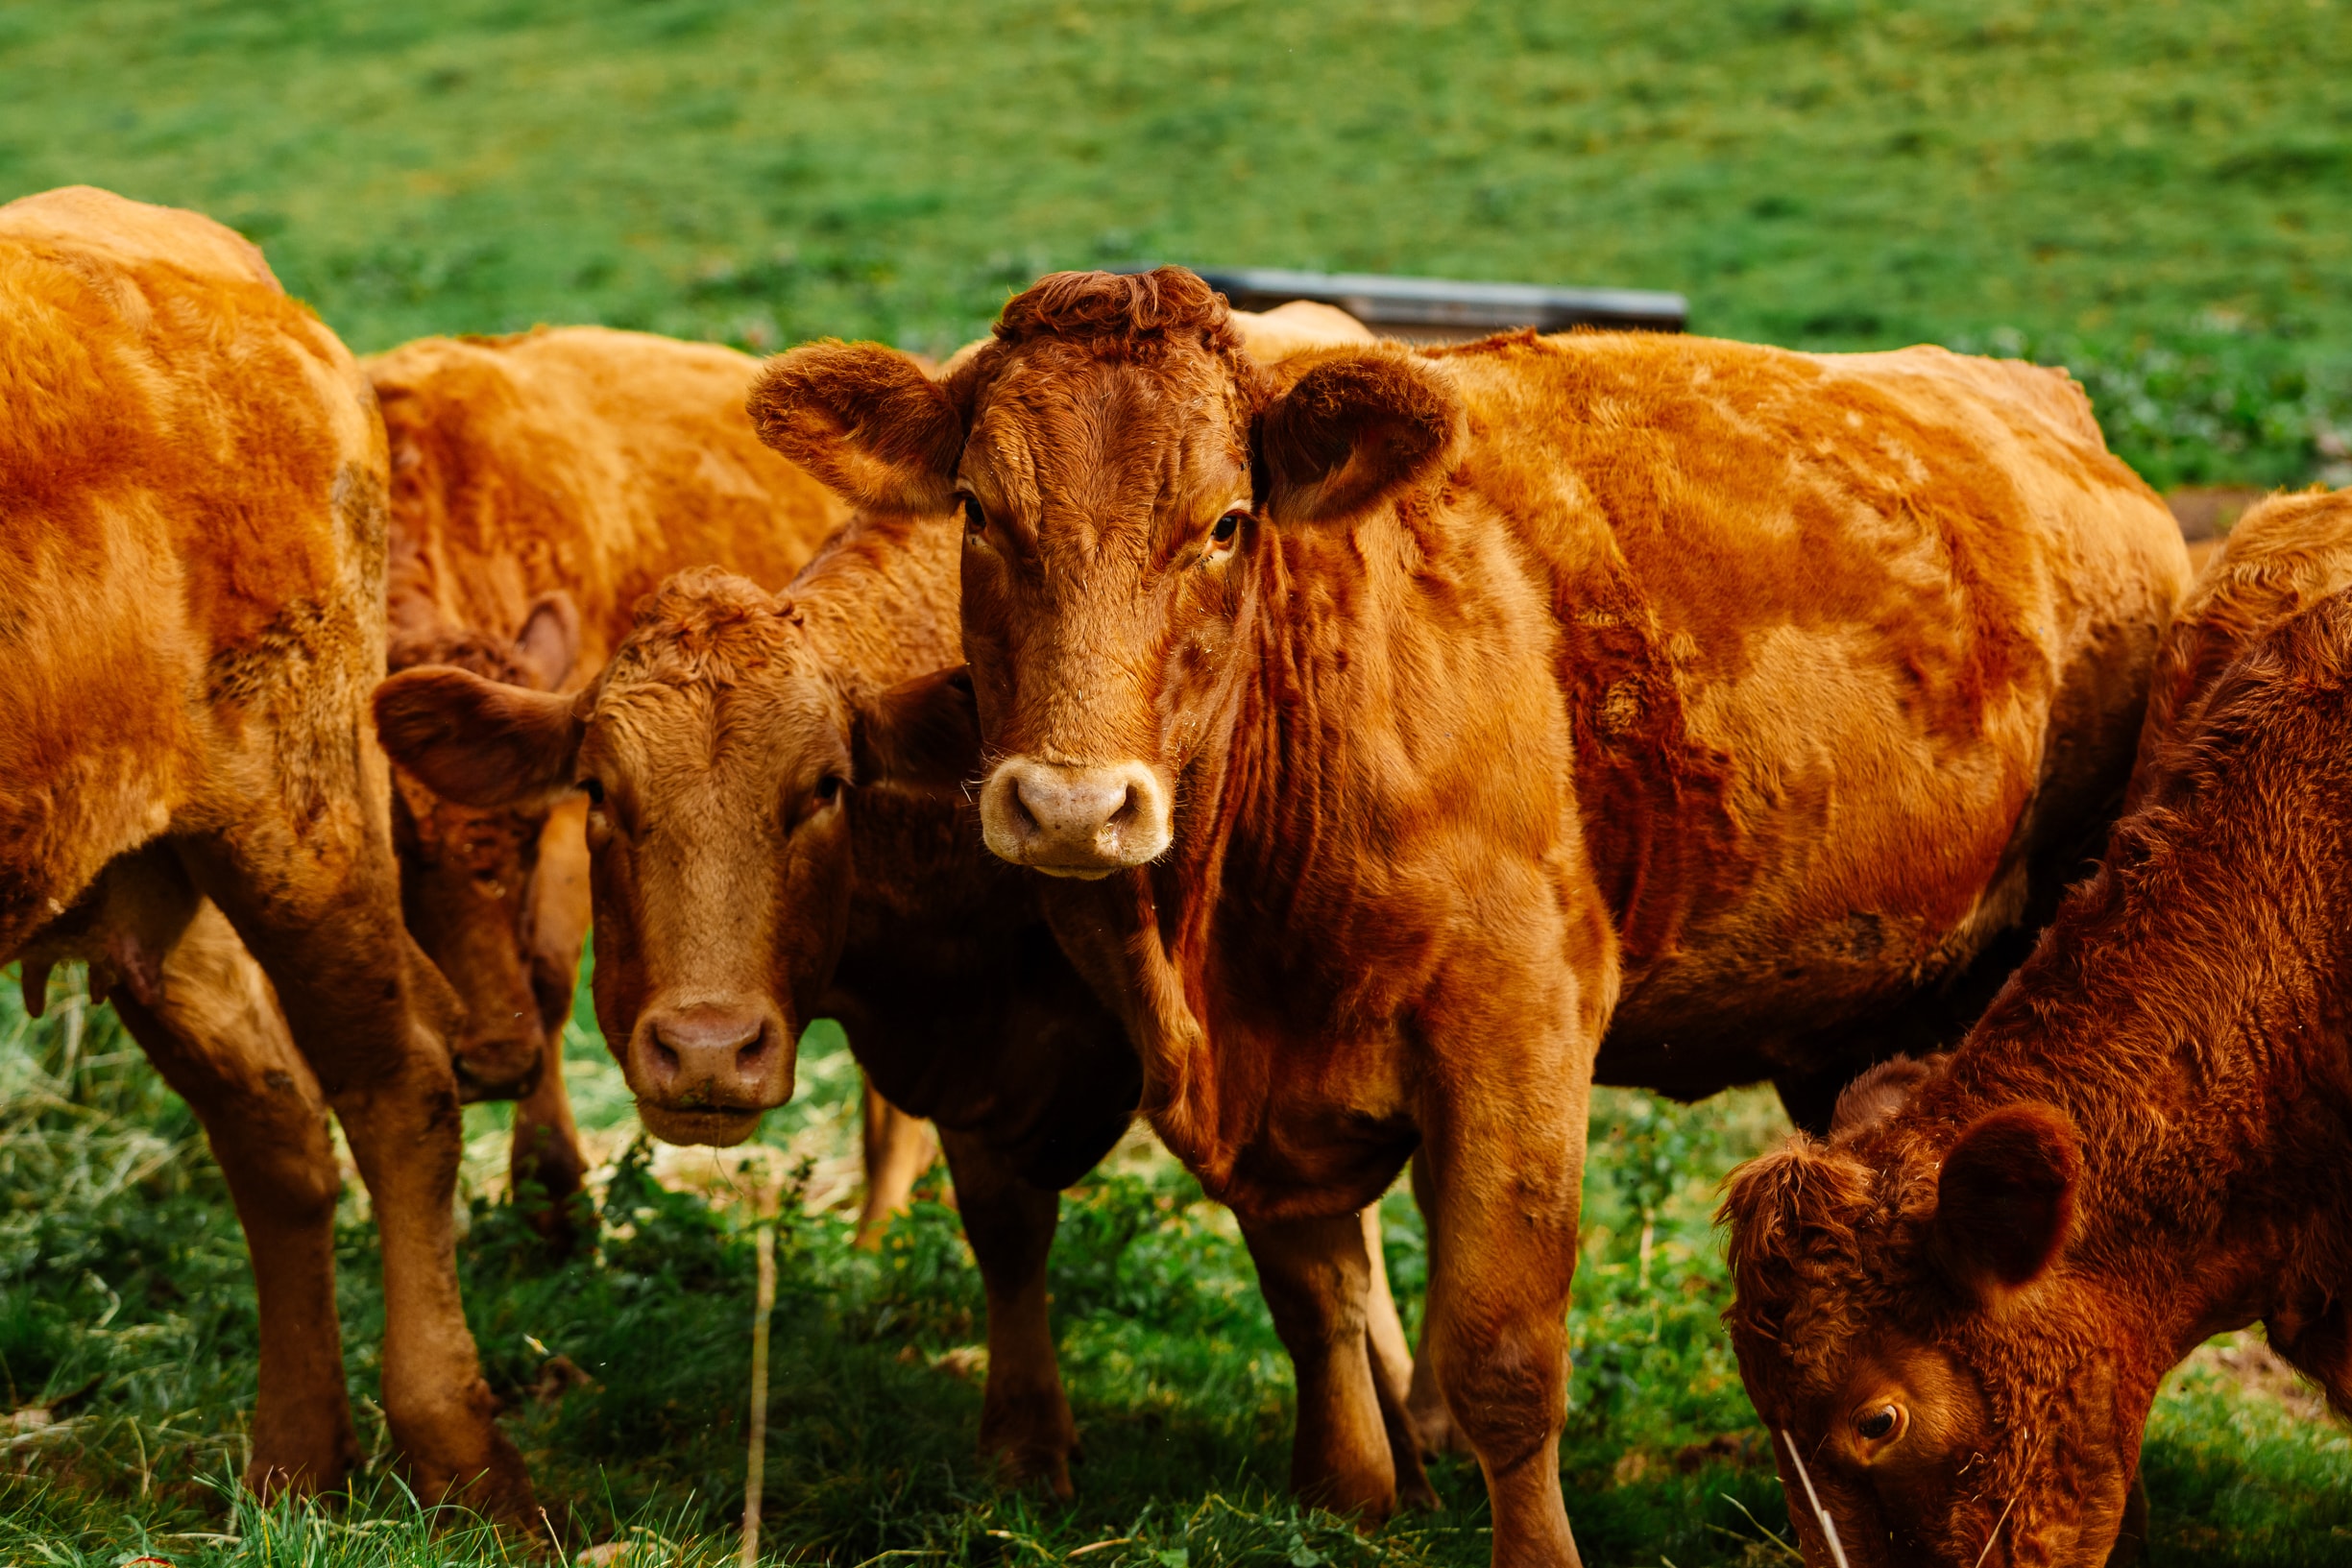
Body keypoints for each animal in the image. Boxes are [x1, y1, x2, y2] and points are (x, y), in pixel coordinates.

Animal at [0, 187, 528, 1515]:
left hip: (298, 813)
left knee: (397, 1085)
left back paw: (463, 1458)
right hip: (146, 878)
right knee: (272, 1123)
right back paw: (296, 1458)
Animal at [740, 267, 2189, 1565]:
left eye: (1225, 522)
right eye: (979, 511)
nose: (1070, 805)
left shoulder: (1517, 1030)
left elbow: (1502, 1348)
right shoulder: (1268, 1086)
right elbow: (1315, 1292)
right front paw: (1349, 1494)